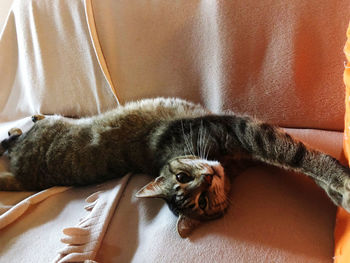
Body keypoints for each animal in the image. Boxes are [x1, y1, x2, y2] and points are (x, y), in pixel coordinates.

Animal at [0, 97, 350, 239]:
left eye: (183, 177)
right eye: (202, 202)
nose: (209, 175)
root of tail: (24, 174)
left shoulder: (244, 134)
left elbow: (295, 156)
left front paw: (337, 186)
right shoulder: (246, 136)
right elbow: (295, 155)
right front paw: (341, 186)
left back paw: (28, 120)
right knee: (13, 141)